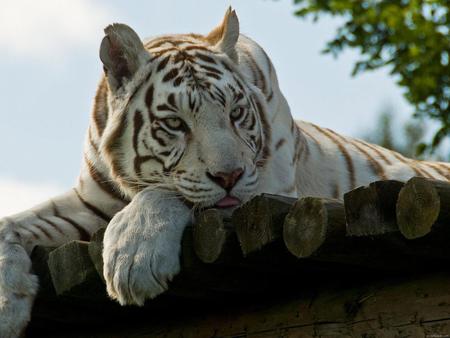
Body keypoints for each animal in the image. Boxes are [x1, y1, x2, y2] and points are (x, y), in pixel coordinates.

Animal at [0, 8, 450, 338]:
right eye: (175, 123)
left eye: (235, 113)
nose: (229, 175)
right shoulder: (89, 202)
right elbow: (10, 225)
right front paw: (7, 306)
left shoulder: (265, 187)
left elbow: (170, 192)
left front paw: (134, 259)